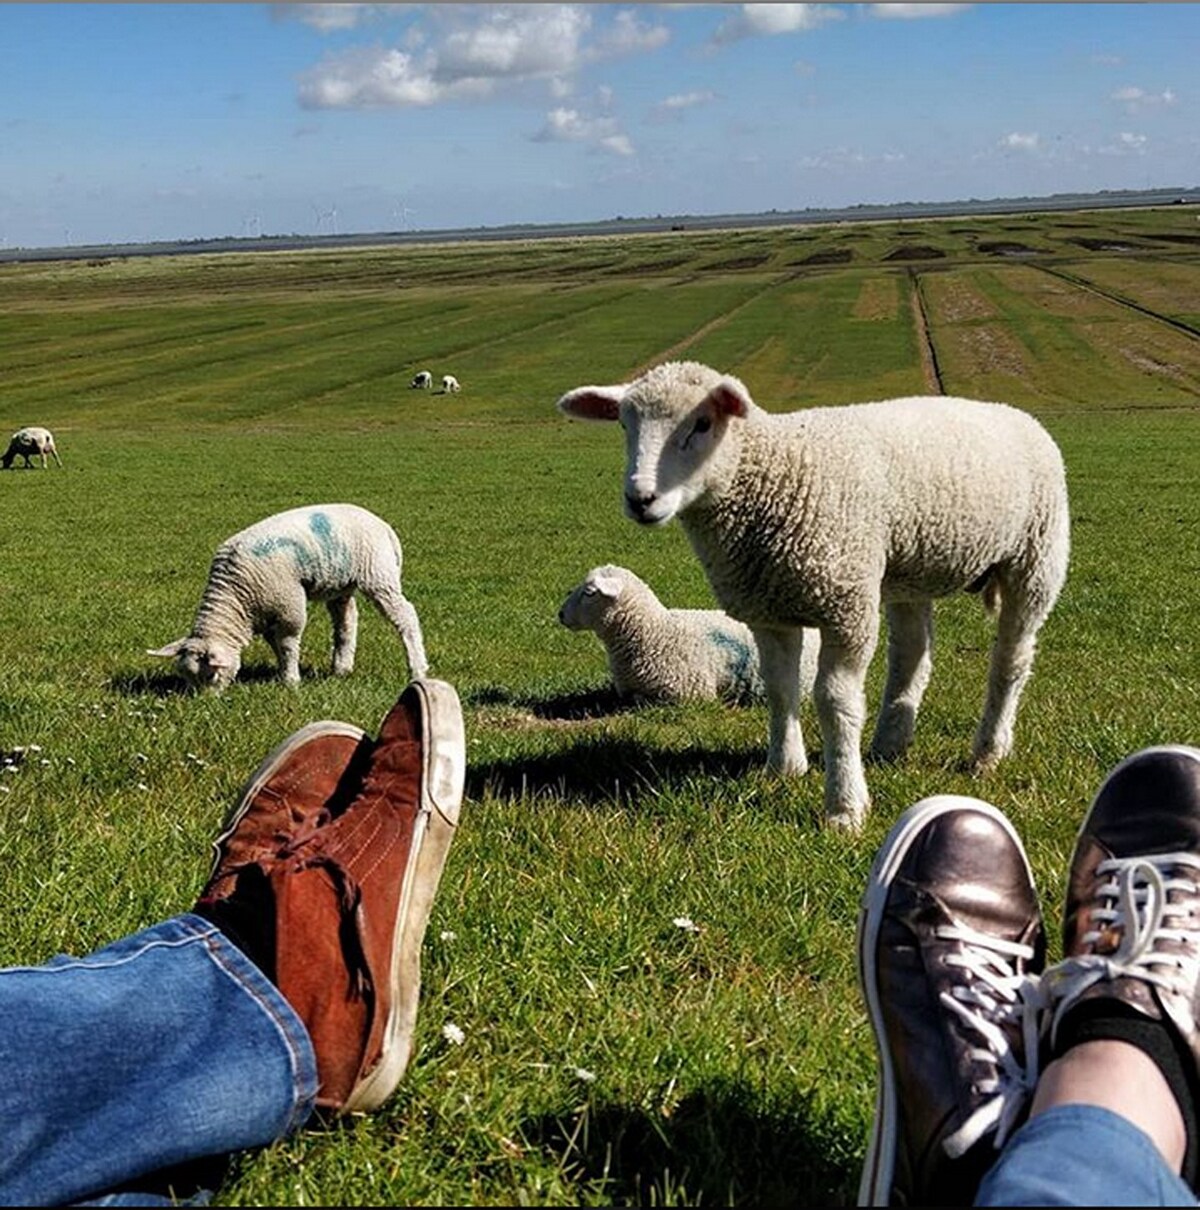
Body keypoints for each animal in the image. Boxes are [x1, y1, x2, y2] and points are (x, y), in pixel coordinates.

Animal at [149, 500, 428, 692]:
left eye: (211, 675)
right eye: (187, 679)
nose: (206, 702)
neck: (236, 597)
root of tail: (383, 525)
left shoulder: (288, 606)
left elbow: (288, 643)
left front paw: (291, 681)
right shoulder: (267, 616)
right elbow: (276, 645)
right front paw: (283, 672)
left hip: (378, 574)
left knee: (405, 616)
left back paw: (418, 669)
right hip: (341, 583)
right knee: (346, 621)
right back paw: (341, 668)